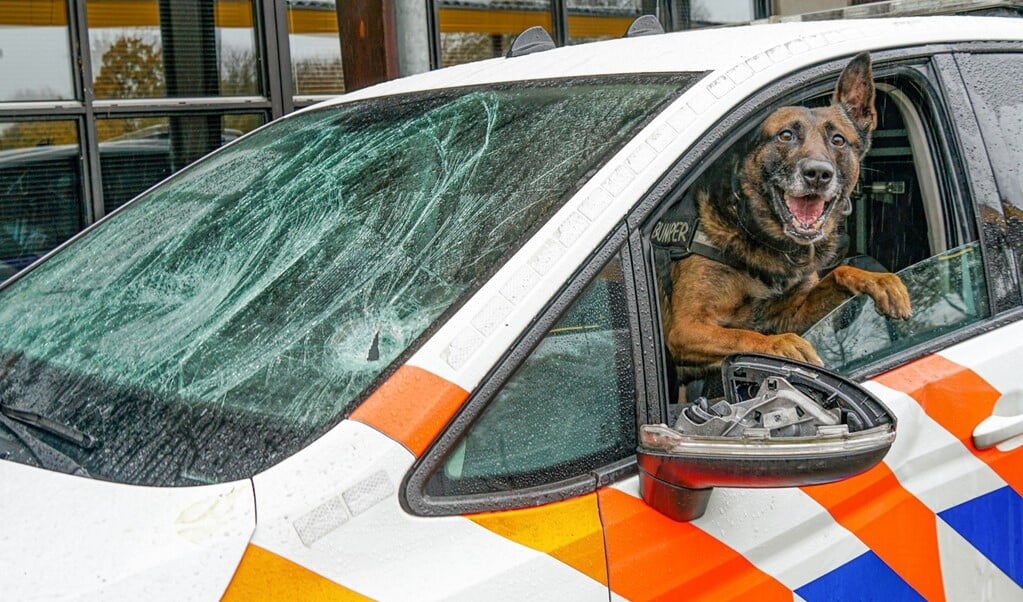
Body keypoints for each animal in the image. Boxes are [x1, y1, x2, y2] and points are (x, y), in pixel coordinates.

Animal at [662, 52, 912, 380]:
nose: (818, 174)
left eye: (838, 140)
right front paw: (781, 345)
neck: (763, 237)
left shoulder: (793, 314)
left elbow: (841, 272)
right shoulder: (685, 328)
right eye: (786, 136)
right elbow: (744, 335)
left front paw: (879, 280)